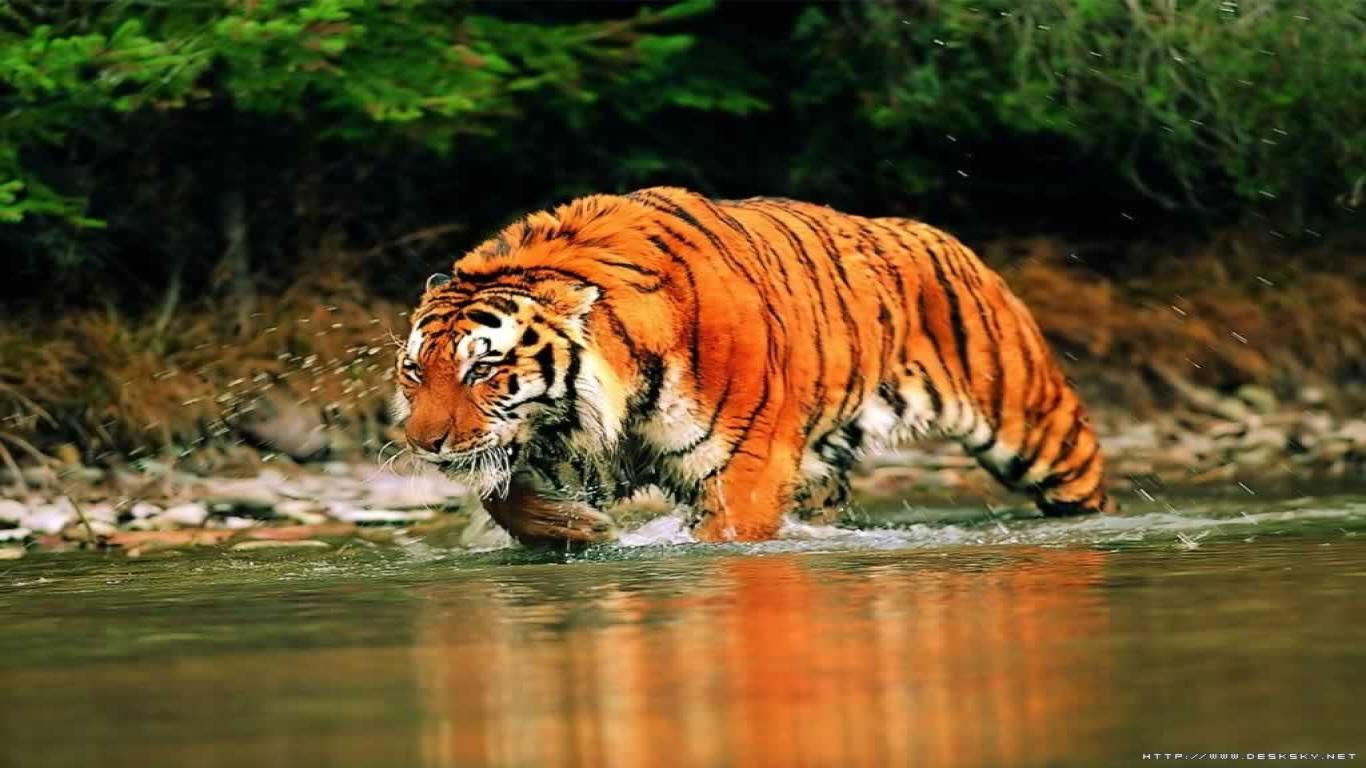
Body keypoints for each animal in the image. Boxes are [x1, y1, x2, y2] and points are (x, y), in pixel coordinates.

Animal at [393, 187, 1114, 545]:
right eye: (415, 372)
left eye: (482, 371)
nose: (423, 443)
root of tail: (947, 238)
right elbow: (505, 496)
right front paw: (581, 531)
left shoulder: (743, 470)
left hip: (1038, 428)